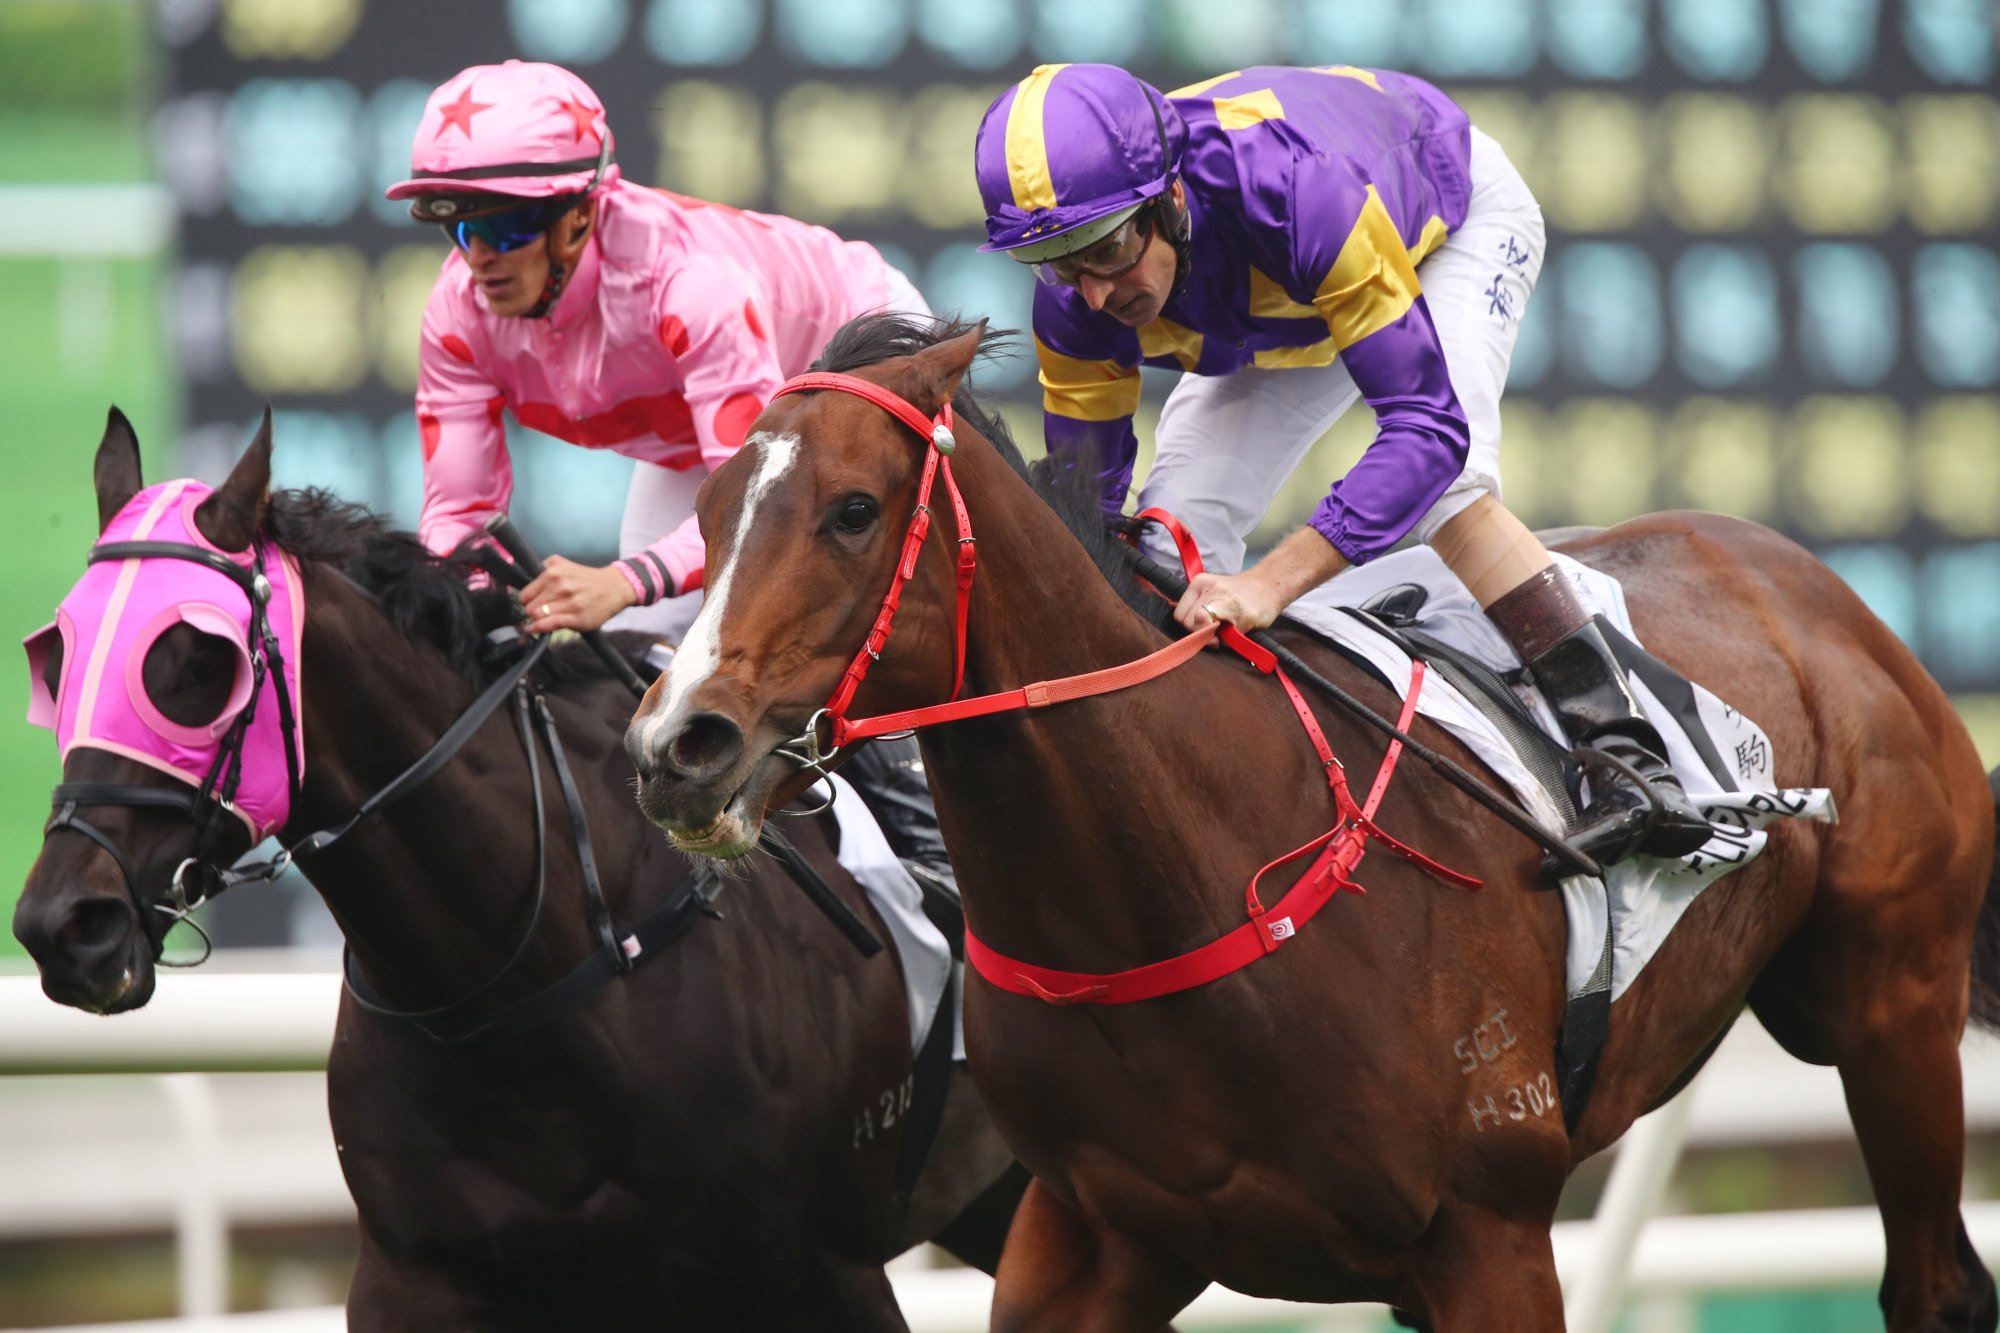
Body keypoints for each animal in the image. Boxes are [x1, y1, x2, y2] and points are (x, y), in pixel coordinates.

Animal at [11, 410, 1016, 1320]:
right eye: (55, 658)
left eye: (198, 662)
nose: (64, 926)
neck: (521, 975)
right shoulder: (419, 1277)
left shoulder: (815, 1268)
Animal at [624, 314, 2000, 1328]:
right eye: (707, 516)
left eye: (852, 510)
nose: (676, 745)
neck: (1177, 881)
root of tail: (1799, 580)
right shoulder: (1086, 1235)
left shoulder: (1489, 1231)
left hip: (1892, 1001)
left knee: (1933, 1285)